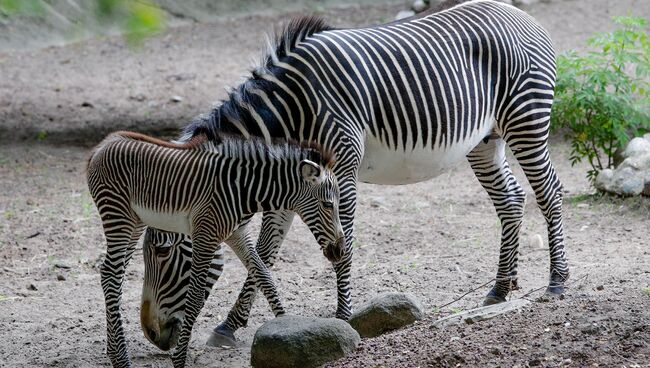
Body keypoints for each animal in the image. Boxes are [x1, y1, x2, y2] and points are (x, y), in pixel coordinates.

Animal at [86, 131, 344, 366]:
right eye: (328, 204)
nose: (339, 251)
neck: (244, 189)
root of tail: (103, 145)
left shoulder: (237, 234)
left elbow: (264, 276)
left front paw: (290, 332)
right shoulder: (206, 235)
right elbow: (194, 297)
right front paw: (179, 360)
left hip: (134, 221)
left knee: (114, 274)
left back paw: (114, 353)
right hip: (118, 215)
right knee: (110, 274)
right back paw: (121, 358)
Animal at [143, 0, 568, 346]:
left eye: (164, 252)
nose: (152, 335)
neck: (292, 110)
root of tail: (518, 13)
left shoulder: (341, 170)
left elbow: (342, 244)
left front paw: (344, 317)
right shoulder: (286, 182)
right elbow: (264, 254)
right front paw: (229, 326)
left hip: (526, 118)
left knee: (549, 191)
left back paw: (557, 282)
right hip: (485, 139)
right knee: (511, 199)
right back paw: (499, 289)